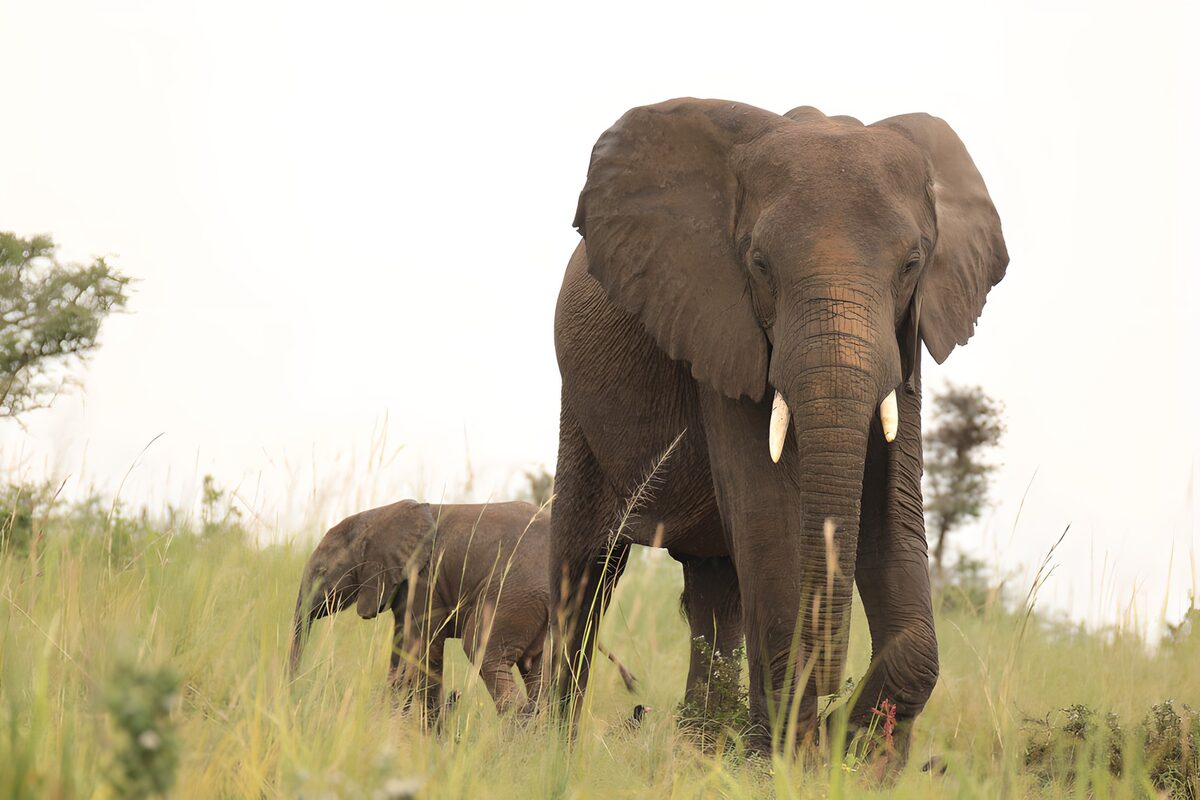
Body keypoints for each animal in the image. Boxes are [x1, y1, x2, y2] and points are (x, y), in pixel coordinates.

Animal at [289, 499, 637, 720]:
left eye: (322, 572)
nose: (292, 692)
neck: (379, 515)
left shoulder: (424, 579)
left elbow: (421, 652)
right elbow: (404, 652)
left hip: (513, 593)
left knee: (483, 650)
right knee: (535, 668)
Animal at [550, 98, 1008, 762]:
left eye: (912, 264)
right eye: (760, 264)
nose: (835, 686)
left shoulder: (908, 343)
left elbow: (892, 513)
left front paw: (855, 755)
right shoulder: (717, 319)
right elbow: (768, 515)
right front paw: (790, 759)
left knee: (715, 589)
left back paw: (703, 742)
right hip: (580, 405)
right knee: (586, 572)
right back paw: (546, 743)